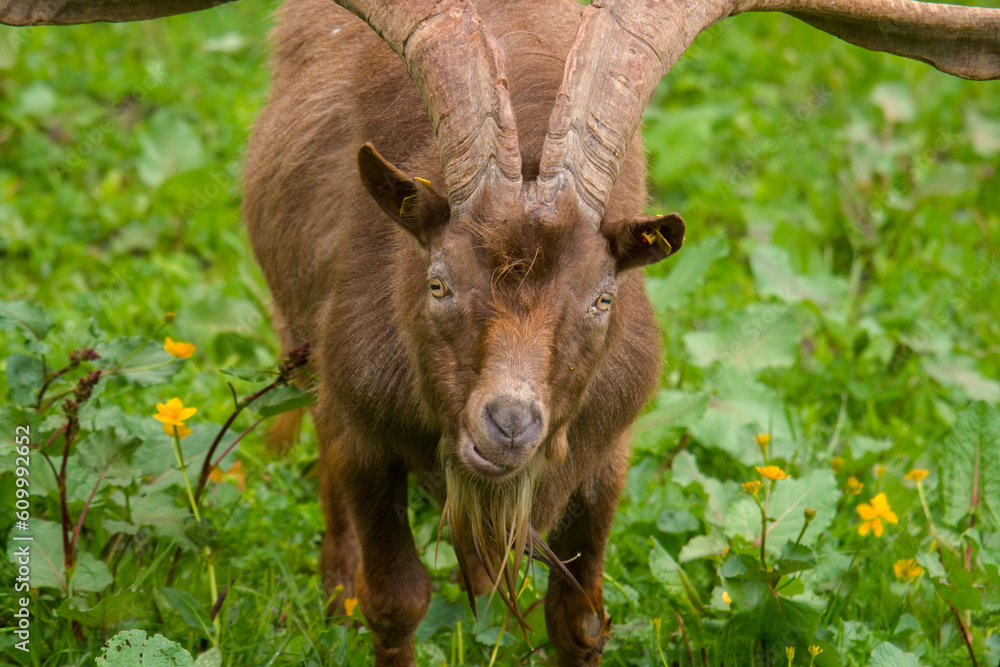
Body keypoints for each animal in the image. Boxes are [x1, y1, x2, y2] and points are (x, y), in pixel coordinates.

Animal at [6, 0, 998, 664]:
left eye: (602, 300)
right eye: (439, 281)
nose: (507, 424)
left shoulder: (604, 452)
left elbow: (578, 613)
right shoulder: (368, 424)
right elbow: (397, 599)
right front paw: (364, 600)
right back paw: (332, 595)